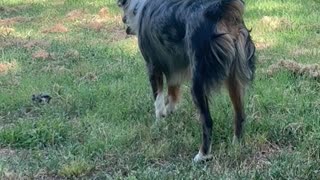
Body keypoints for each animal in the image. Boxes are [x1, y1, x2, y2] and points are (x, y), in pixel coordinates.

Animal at [117, 0, 255, 162]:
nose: (123, 20)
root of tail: (219, 10)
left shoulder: (153, 67)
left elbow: (158, 102)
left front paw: (158, 124)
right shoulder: (173, 67)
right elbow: (172, 93)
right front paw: (169, 111)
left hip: (197, 84)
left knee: (208, 121)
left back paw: (202, 155)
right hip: (234, 79)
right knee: (239, 114)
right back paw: (236, 144)